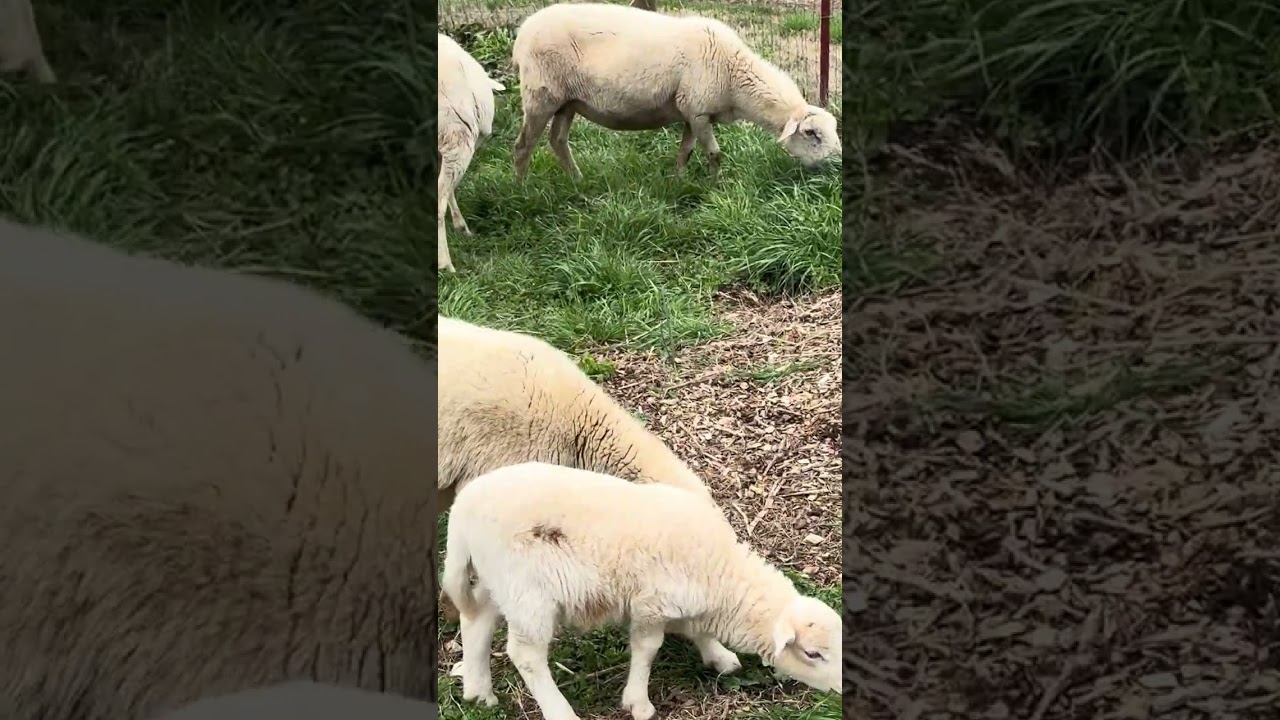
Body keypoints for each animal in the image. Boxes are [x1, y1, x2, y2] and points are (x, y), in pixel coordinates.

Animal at [441, 461, 842, 720]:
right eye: (812, 654)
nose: (843, 690)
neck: (721, 576)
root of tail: (462, 508)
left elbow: (698, 631)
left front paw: (718, 656)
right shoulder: (651, 603)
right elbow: (648, 649)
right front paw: (638, 702)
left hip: (498, 578)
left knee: (477, 617)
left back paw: (478, 691)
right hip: (528, 593)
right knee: (525, 655)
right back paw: (559, 712)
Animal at [509, 2, 840, 181]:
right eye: (811, 133)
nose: (837, 164)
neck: (734, 76)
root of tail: (523, 31)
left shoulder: (691, 112)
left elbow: (686, 150)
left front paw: (678, 179)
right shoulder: (699, 110)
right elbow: (715, 154)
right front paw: (715, 186)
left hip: (568, 101)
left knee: (557, 141)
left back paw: (577, 180)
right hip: (541, 94)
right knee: (524, 144)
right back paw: (523, 187)